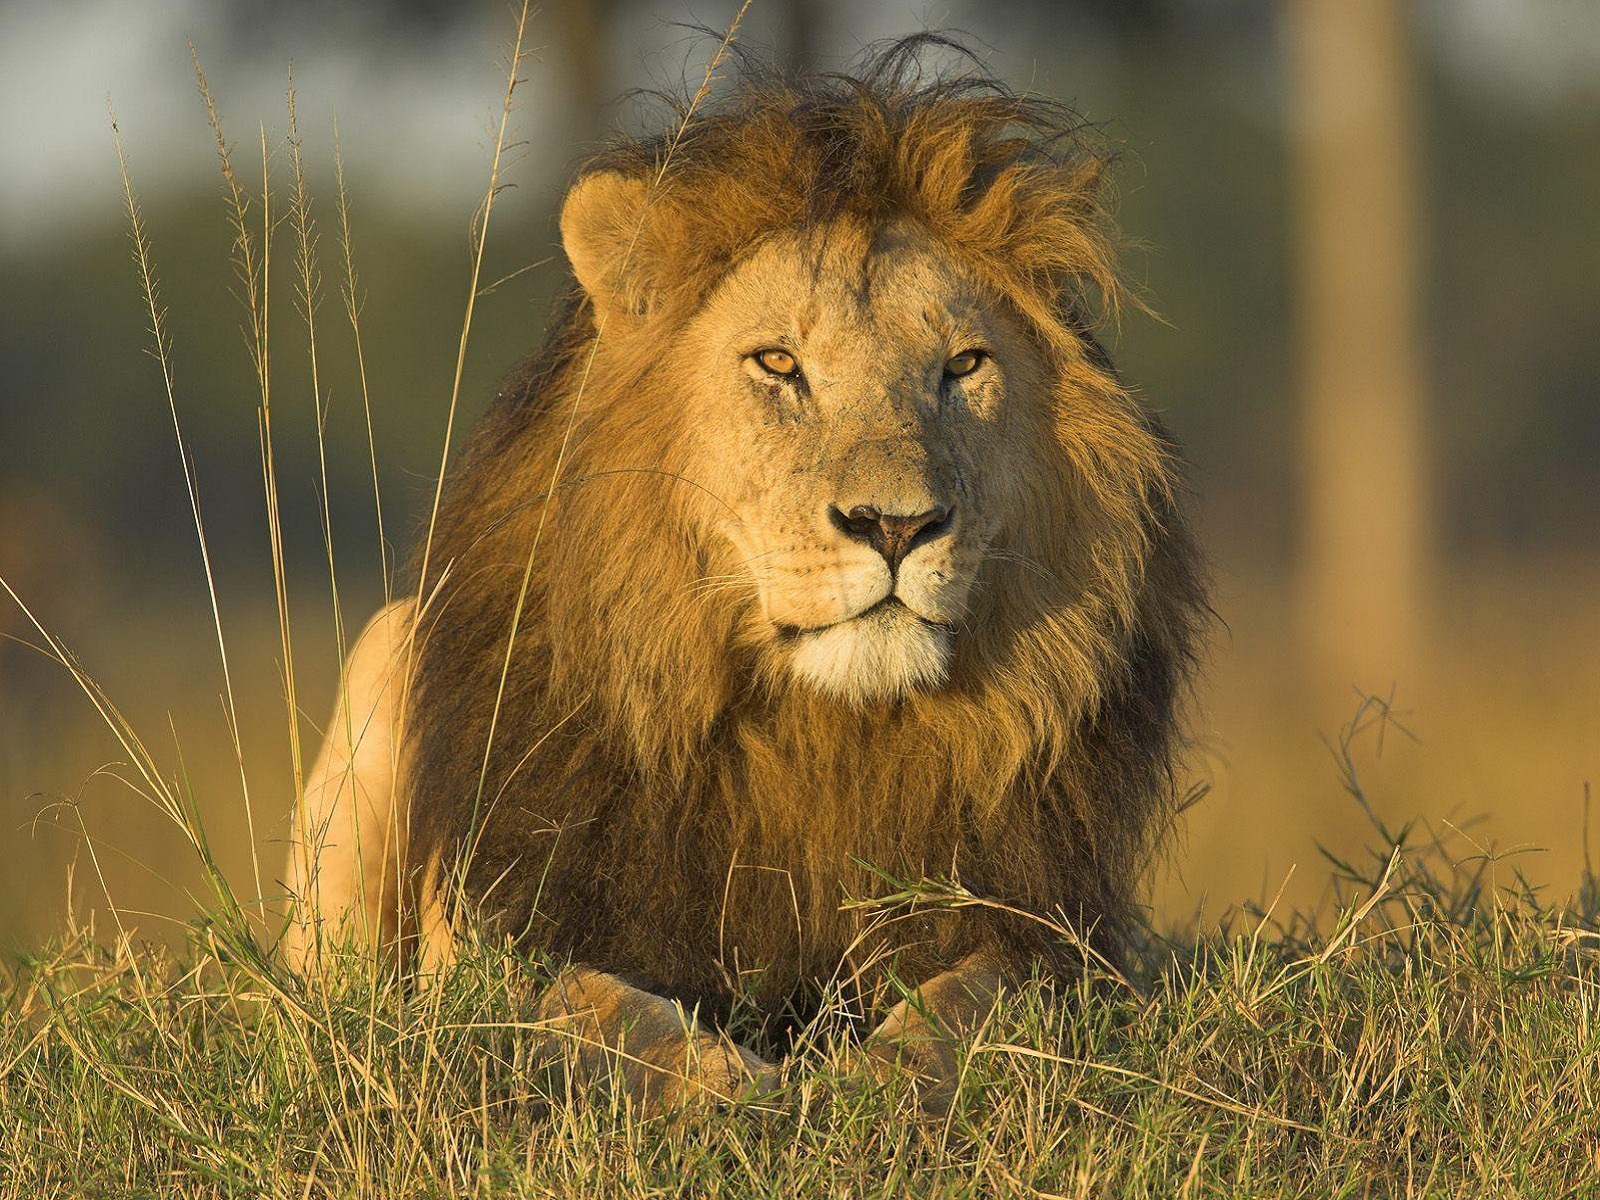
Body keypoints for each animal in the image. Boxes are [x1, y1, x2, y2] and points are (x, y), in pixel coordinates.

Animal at [284, 44, 1203, 1120]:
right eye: (778, 363)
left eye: (964, 365)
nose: (897, 525)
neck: (821, 735)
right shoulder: (506, 927)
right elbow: (600, 1012)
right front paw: (729, 1092)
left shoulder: (1053, 932)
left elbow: (971, 1003)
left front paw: (876, 1086)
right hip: (383, 660)